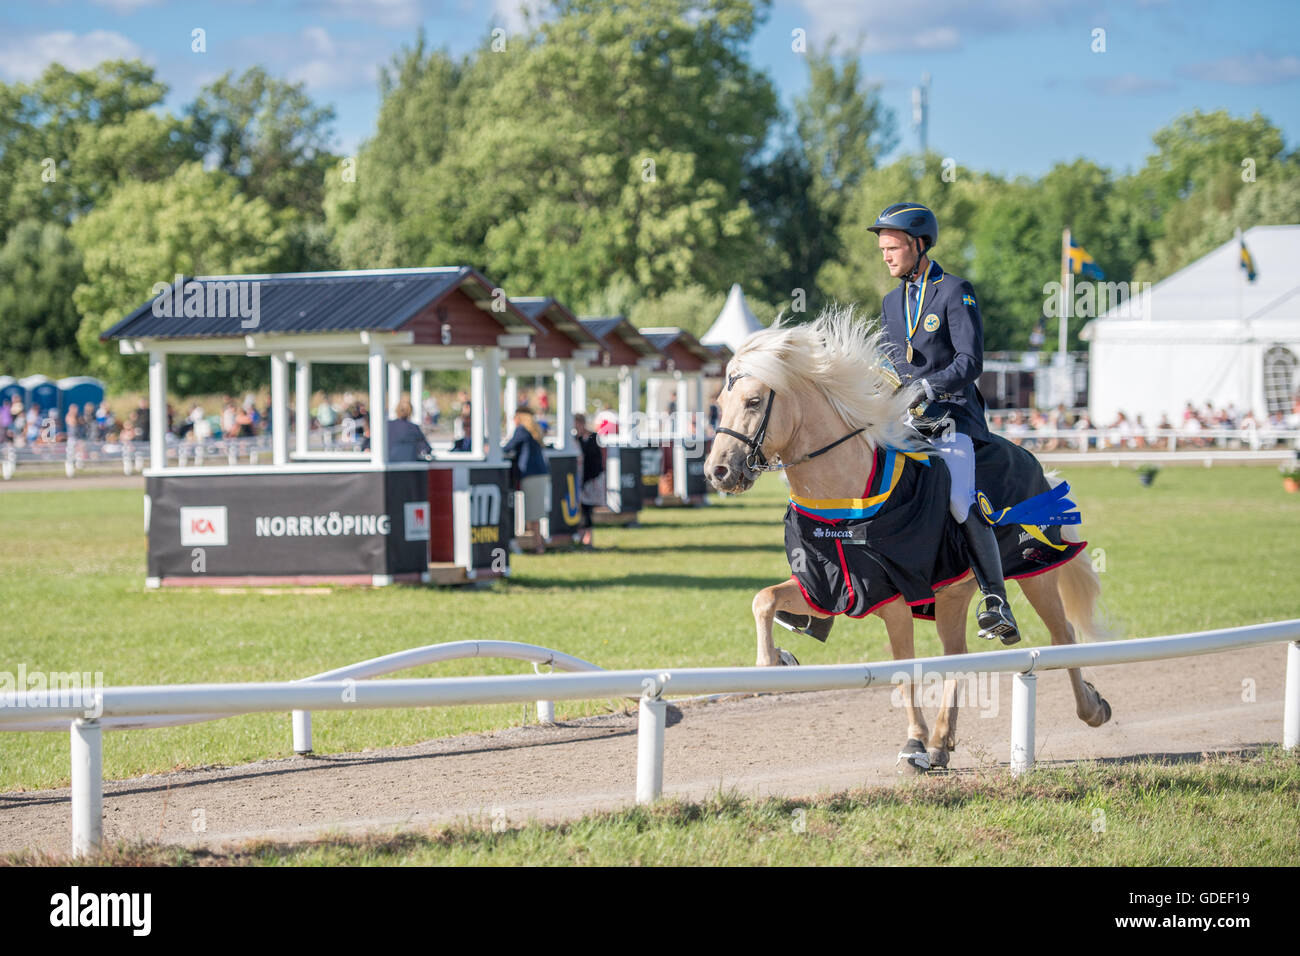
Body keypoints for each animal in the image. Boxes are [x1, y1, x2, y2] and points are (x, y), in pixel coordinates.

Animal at [707, 310, 1112, 775]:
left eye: (754, 402)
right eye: (720, 402)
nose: (717, 471)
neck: (843, 496)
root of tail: (1034, 461)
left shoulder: (894, 593)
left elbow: (904, 669)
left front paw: (913, 744)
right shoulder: (827, 585)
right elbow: (764, 599)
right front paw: (774, 661)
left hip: (1034, 571)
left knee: (1062, 635)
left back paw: (1089, 708)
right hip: (954, 593)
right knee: (958, 656)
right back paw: (941, 742)